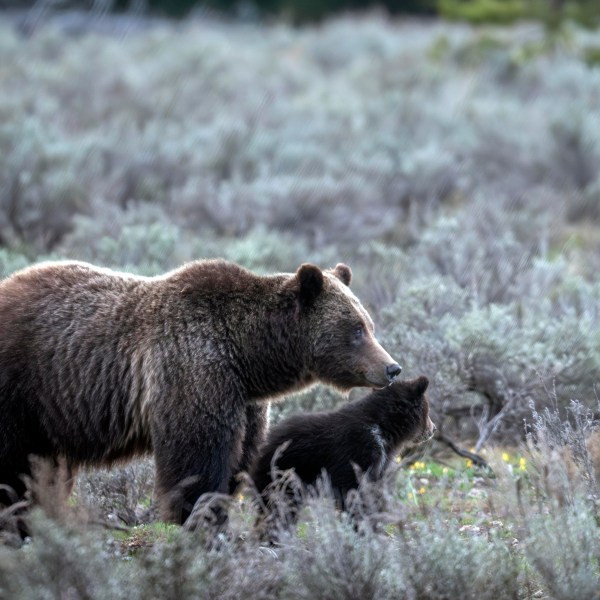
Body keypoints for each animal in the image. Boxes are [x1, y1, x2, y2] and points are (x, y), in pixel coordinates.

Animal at [1, 260, 404, 524]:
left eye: (368, 324)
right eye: (356, 330)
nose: (392, 367)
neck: (248, 356)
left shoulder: (245, 401)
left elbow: (237, 461)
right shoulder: (194, 370)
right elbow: (196, 458)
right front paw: (197, 520)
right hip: (23, 387)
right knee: (15, 467)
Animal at [250, 378, 436, 524]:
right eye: (427, 410)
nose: (433, 429)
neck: (383, 429)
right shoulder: (357, 451)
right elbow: (354, 491)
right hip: (285, 473)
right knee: (279, 507)